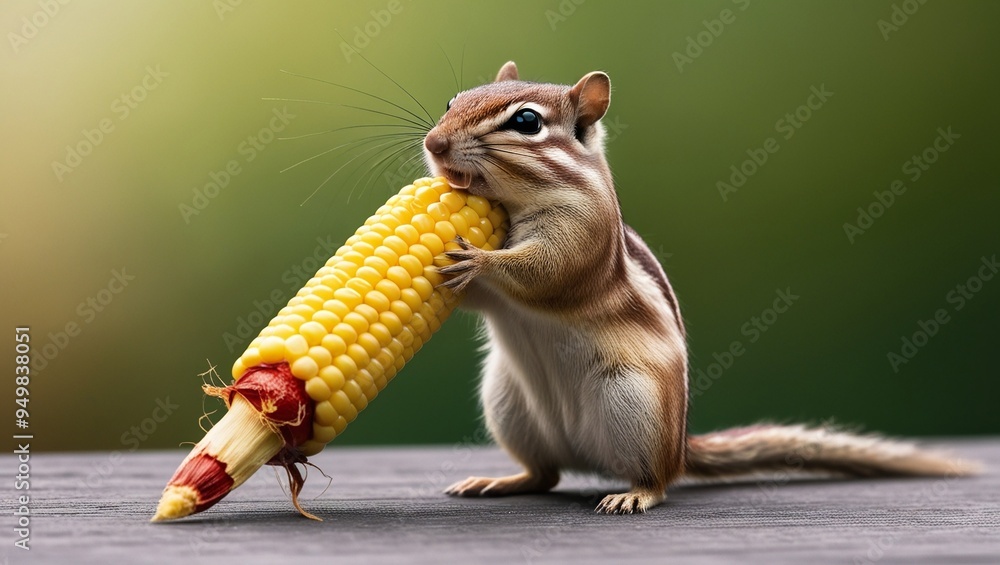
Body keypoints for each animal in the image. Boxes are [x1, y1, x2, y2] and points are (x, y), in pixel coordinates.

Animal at [422, 61, 977, 514]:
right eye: (452, 101)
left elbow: (548, 272)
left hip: (633, 403)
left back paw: (635, 494)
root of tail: (680, 447)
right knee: (544, 474)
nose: (434, 145)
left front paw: (480, 260)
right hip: (509, 405)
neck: (516, 207)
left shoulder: (584, 233)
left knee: (656, 481)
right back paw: (501, 481)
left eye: (527, 122)